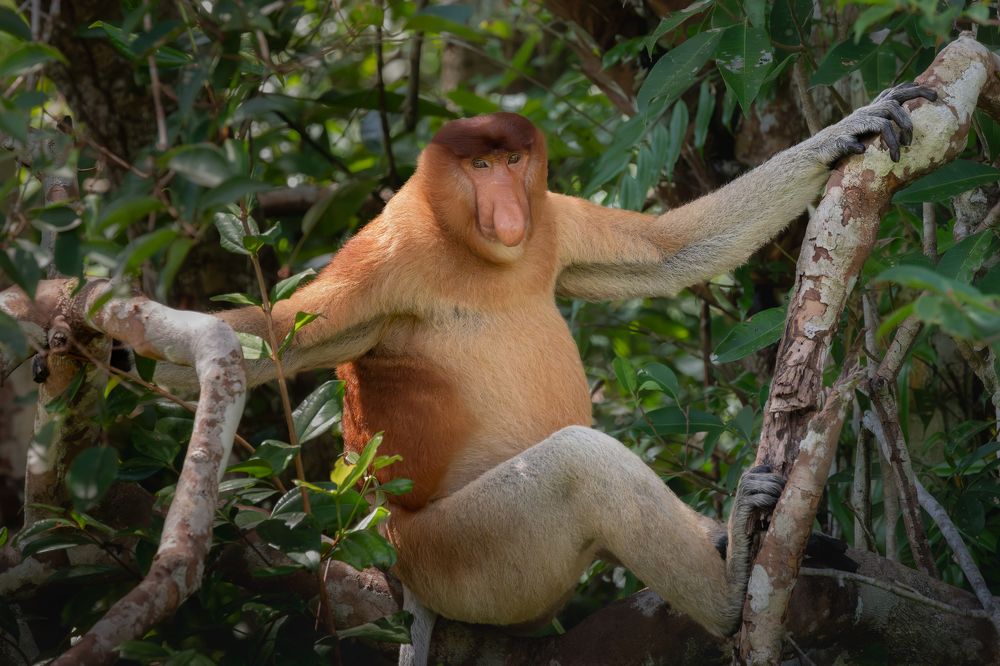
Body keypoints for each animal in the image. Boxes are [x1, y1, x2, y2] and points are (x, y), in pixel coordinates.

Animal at [150, 82, 936, 660]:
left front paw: (848, 129)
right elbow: (261, 342)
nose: (506, 209)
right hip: (456, 559)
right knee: (576, 468)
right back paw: (732, 578)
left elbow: (669, 252)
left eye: (512, 162)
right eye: (478, 167)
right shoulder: (384, 260)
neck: (474, 255)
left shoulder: (549, 221)